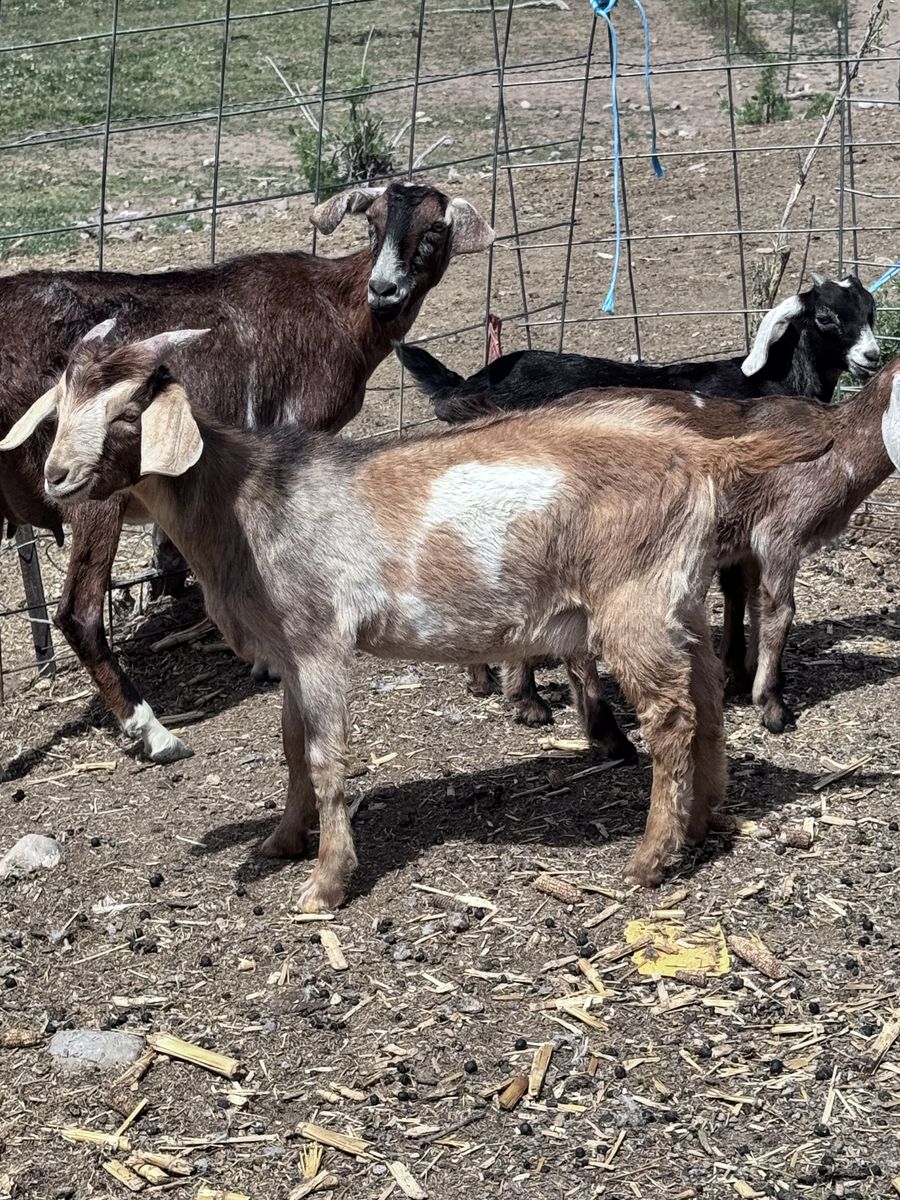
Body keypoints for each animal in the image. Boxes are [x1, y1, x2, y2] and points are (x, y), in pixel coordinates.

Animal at [0, 181, 492, 764]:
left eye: (434, 228)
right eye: (372, 223)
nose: (385, 289)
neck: (336, 306)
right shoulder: (297, 427)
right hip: (88, 483)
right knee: (78, 612)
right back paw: (155, 733)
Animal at [2, 324, 831, 904]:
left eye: (128, 413)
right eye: (59, 410)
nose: (58, 477)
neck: (248, 501)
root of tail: (703, 457)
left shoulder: (322, 639)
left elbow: (327, 757)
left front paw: (326, 883)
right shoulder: (291, 651)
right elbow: (291, 747)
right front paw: (283, 841)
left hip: (632, 599)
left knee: (670, 716)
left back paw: (651, 857)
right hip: (675, 594)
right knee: (706, 693)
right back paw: (707, 816)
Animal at [398, 274, 879, 730]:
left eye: (871, 311)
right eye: (825, 318)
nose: (872, 357)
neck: (768, 382)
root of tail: (473, 388)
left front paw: (738, 670)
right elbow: (737, 588)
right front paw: (739, 674)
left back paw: (483, 679)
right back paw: (526, 699)